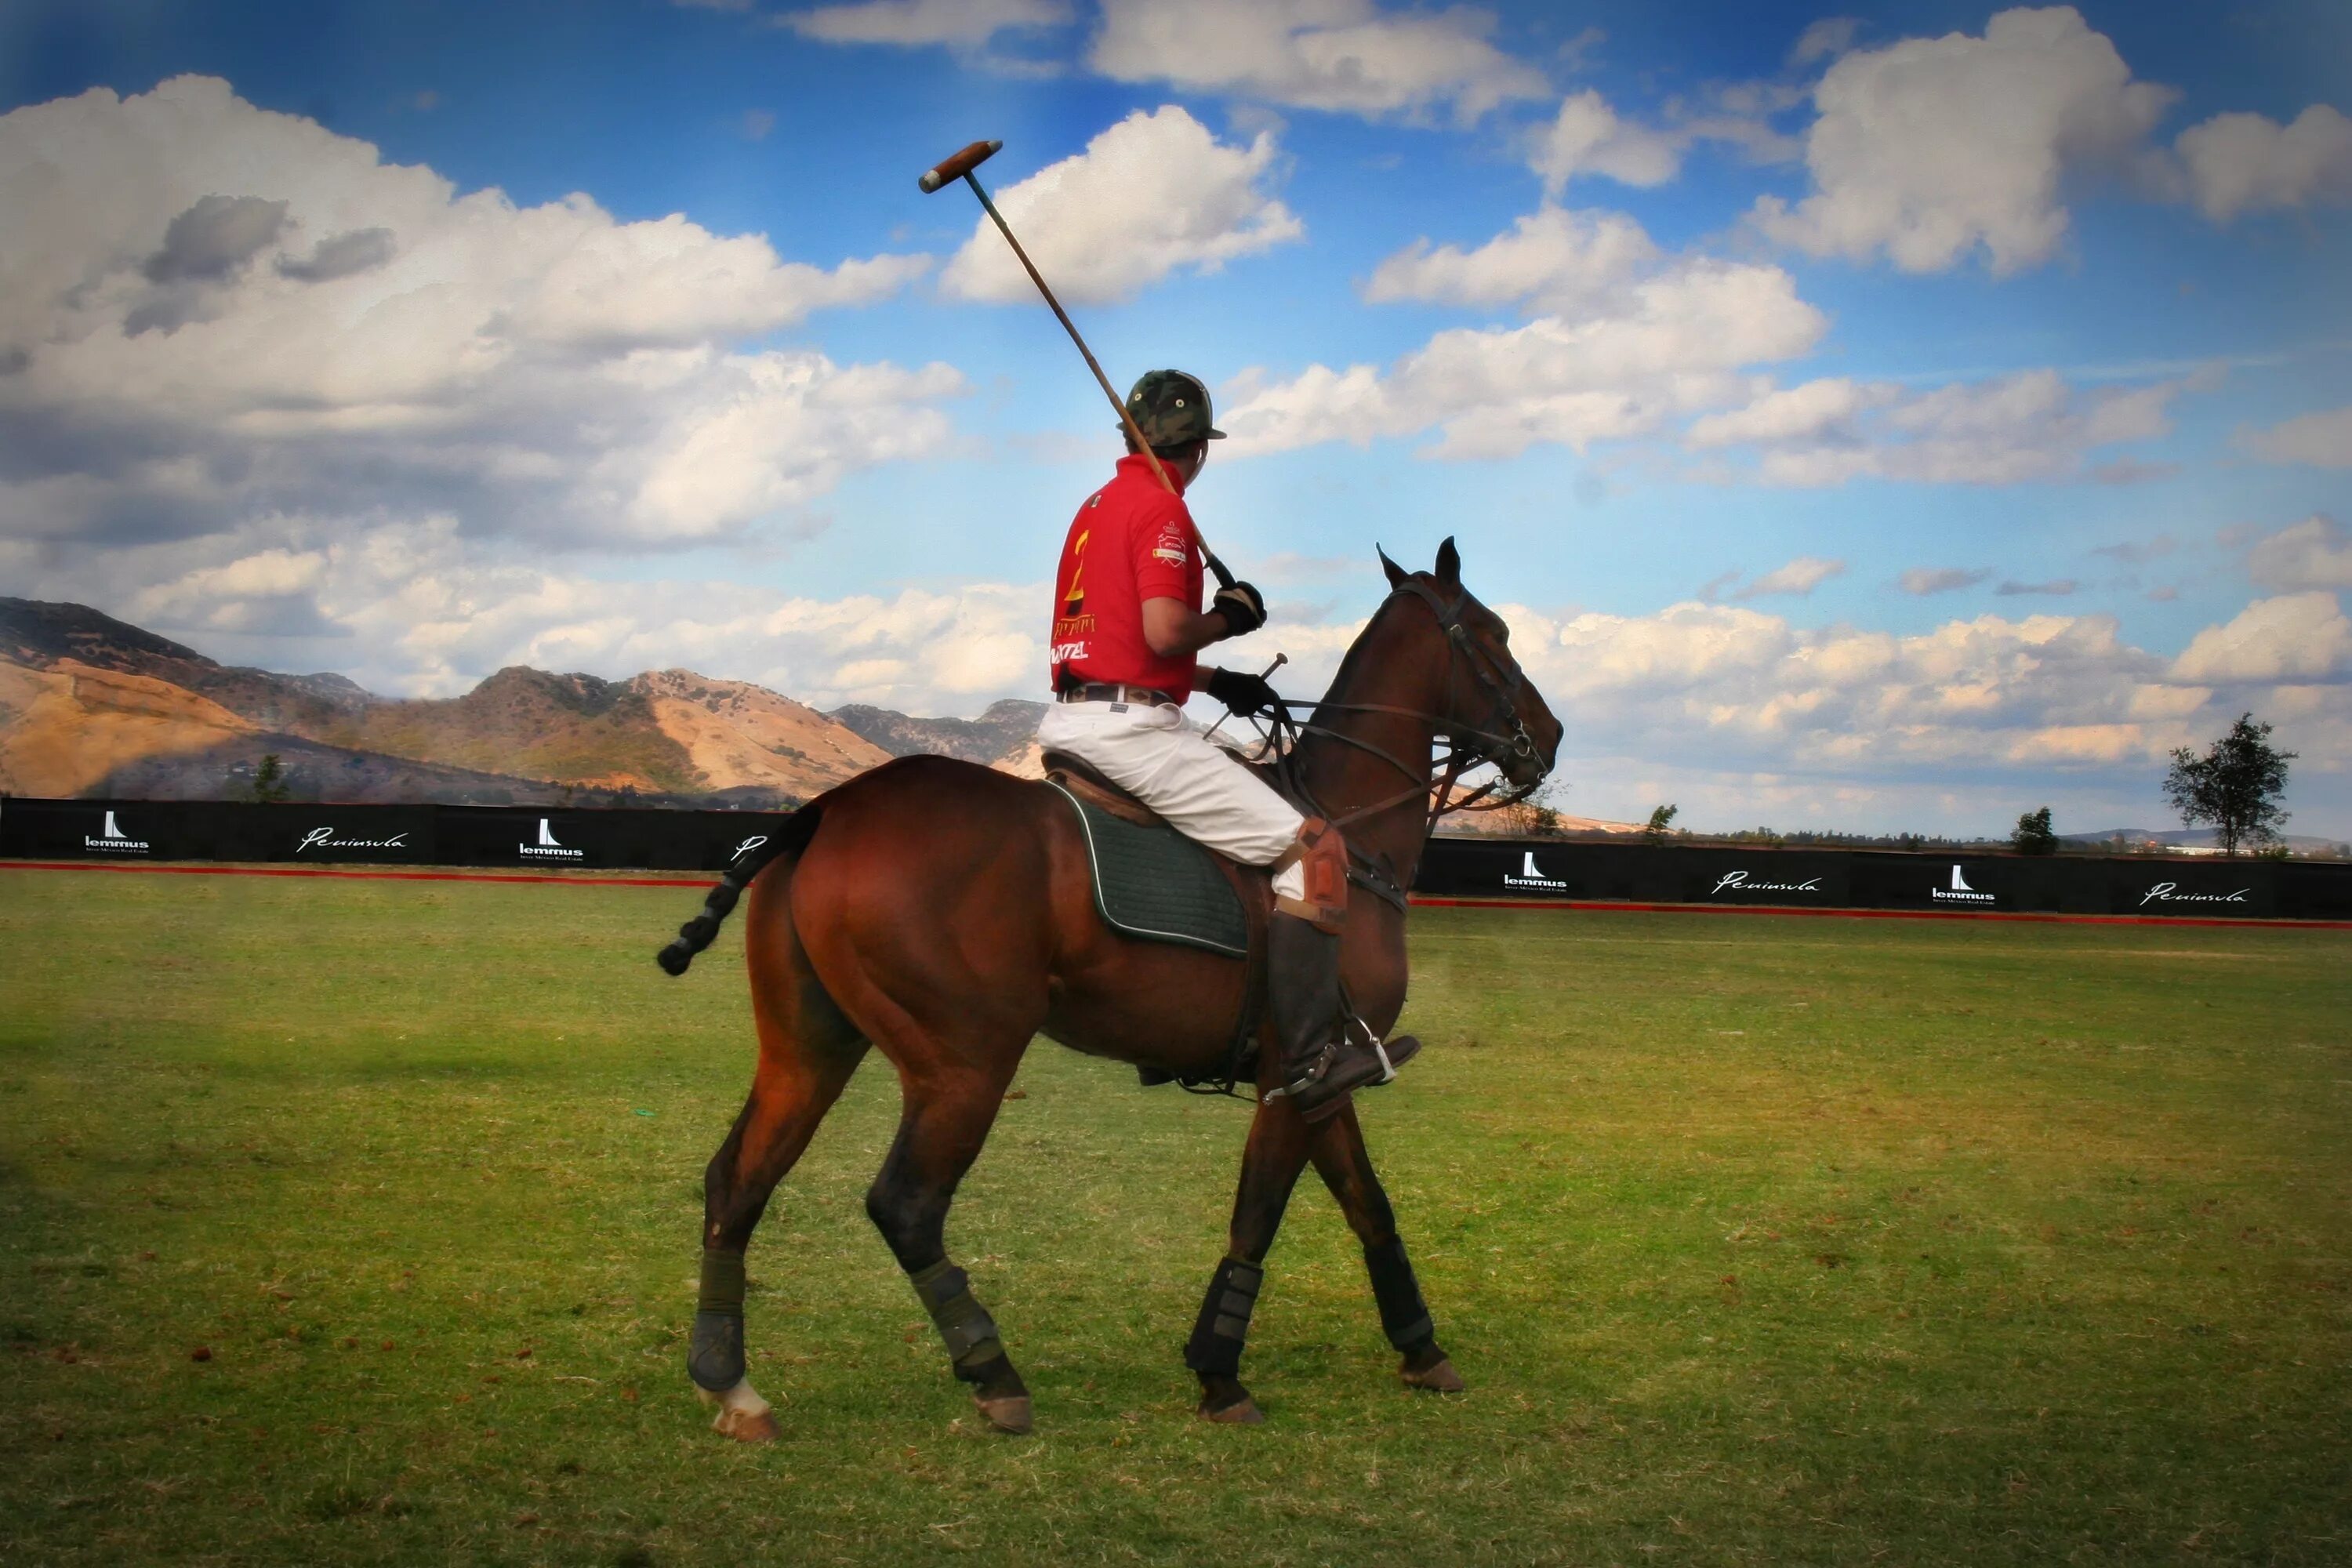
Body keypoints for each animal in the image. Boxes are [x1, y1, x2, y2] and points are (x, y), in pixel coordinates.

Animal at [663, 543, 1562, 1448]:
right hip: (964, 1060)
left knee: (735, 1180)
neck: (1350, 821)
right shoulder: (1291, 1070)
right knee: (905, 1204)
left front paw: (1421, 1346)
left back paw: (731, 1384)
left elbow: (1369, 1204)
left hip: (808, 1046)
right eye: (1495, 634)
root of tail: (825, 809)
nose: (1549, 738)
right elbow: (1257, 1216)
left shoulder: (1328, 1068)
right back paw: (994, 1373)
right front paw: (1219, 1373)